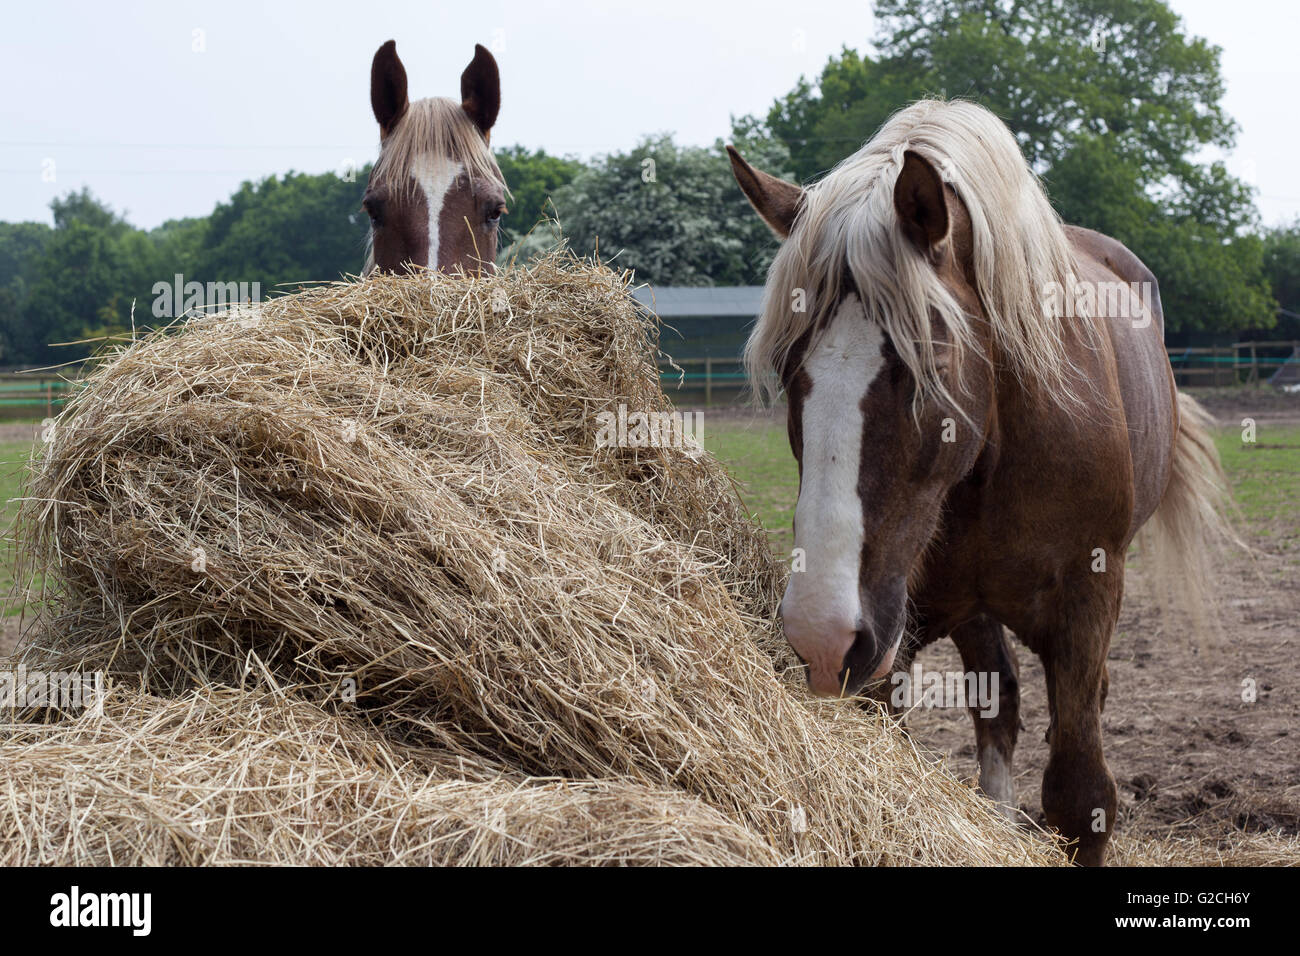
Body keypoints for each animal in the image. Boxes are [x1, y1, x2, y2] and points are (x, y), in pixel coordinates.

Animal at [728, 98, 1232, 868]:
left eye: (926, 365)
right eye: (788, 367)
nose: (822, 634)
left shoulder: (1087, 596)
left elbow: (1080, 793)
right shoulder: (893, 627)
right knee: (1001, 699)